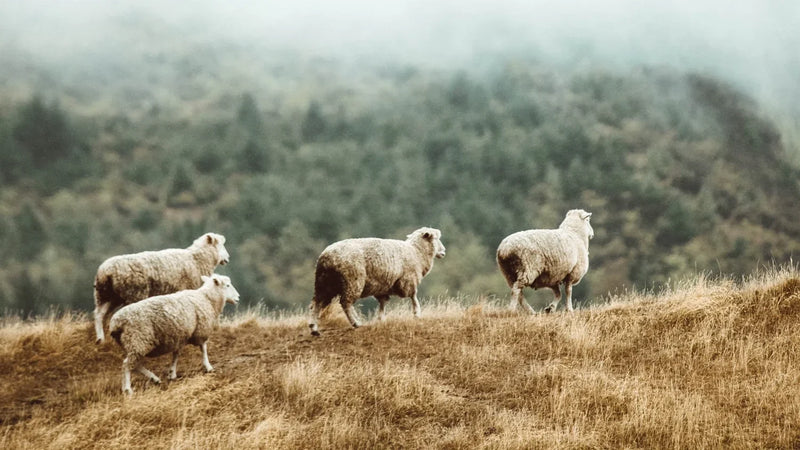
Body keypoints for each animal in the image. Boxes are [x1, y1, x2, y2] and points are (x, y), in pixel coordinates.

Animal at [93, 232, 230, 344]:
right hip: (133, 293)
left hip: (106, 295)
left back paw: (100, 339)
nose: (227, 259)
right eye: (221, 245)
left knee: (100, 314)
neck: (196, 259)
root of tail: (105, 271)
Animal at [109, 273, 240, 395]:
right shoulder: (201, 330)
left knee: (135, 365)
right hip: (138, 340)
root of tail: (116, 323)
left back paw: (155, 379)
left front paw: (172, 373)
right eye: (227, 285)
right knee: (127, 365)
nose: (238, 297)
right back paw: (128, 389)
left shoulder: (181, 335)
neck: (207, 298)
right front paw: (208, 366)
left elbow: (176, 354)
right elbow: (203, 348)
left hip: (133, 343)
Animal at [308, 227, 446, 335]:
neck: (417, 252)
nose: (443, 251)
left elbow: (383, 303)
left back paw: (314, 328)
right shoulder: (408, 280)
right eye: (436, 238)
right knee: (345, 302)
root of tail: (326, 257)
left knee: (316, 302)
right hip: (352, 280)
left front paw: (381, 319)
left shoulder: (383, 287)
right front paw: (417, 313)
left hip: (324, 283)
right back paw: (356, 323)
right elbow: (413, 296)